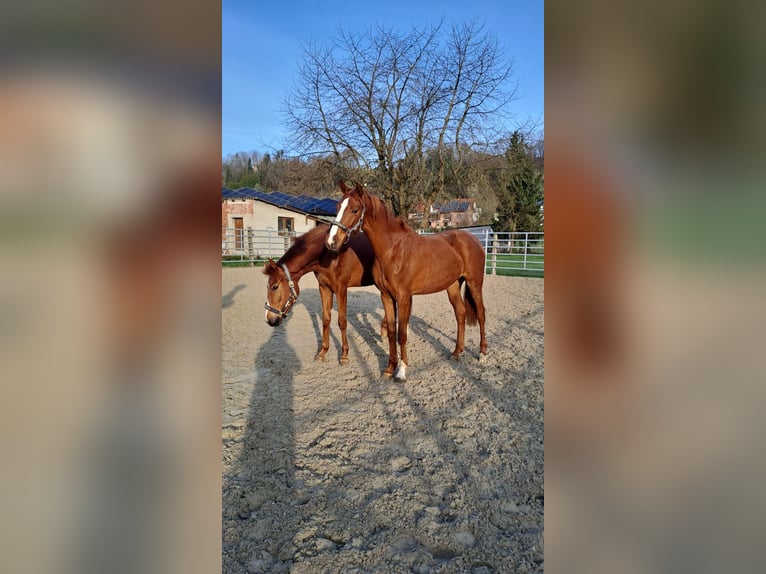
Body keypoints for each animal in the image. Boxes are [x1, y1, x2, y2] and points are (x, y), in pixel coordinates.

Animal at [266, 225, 380, 364]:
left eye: (274, 287)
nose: (269, 320)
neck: (329, 255)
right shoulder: (324, 288)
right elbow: (326, 319)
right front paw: (322, 352)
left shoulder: (341, 289)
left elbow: (342, 321)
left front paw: (344, 355)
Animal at [328, 182, 488, 380]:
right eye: (337, 207)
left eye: (354, 209)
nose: (332, 241)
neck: (392, 250)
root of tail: (473, 239)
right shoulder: (386, 296)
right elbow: (391, 331)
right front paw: (390, 368)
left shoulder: (404, 297)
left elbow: (402, 334)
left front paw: (402, 370)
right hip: (452, 286)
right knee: (461, 313)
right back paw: (457, 352)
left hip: (475, 283)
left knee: (481, 314)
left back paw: (482, 354)